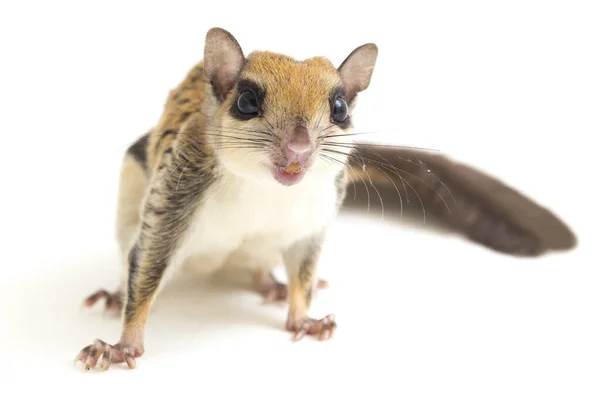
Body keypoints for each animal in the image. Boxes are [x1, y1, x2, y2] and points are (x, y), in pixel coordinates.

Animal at [75, 27, 576, 372]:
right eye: (246, 102)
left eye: (339, 109)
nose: (299, 149)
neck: (265, 188)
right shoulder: (175, 196)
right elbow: (148, 266)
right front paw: (121, 346)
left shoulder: (311, 222)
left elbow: (304, 271)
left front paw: (303, 318)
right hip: (131, 196)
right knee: (130, 262)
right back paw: (113, 293)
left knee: (265, 271)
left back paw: (273, 286)